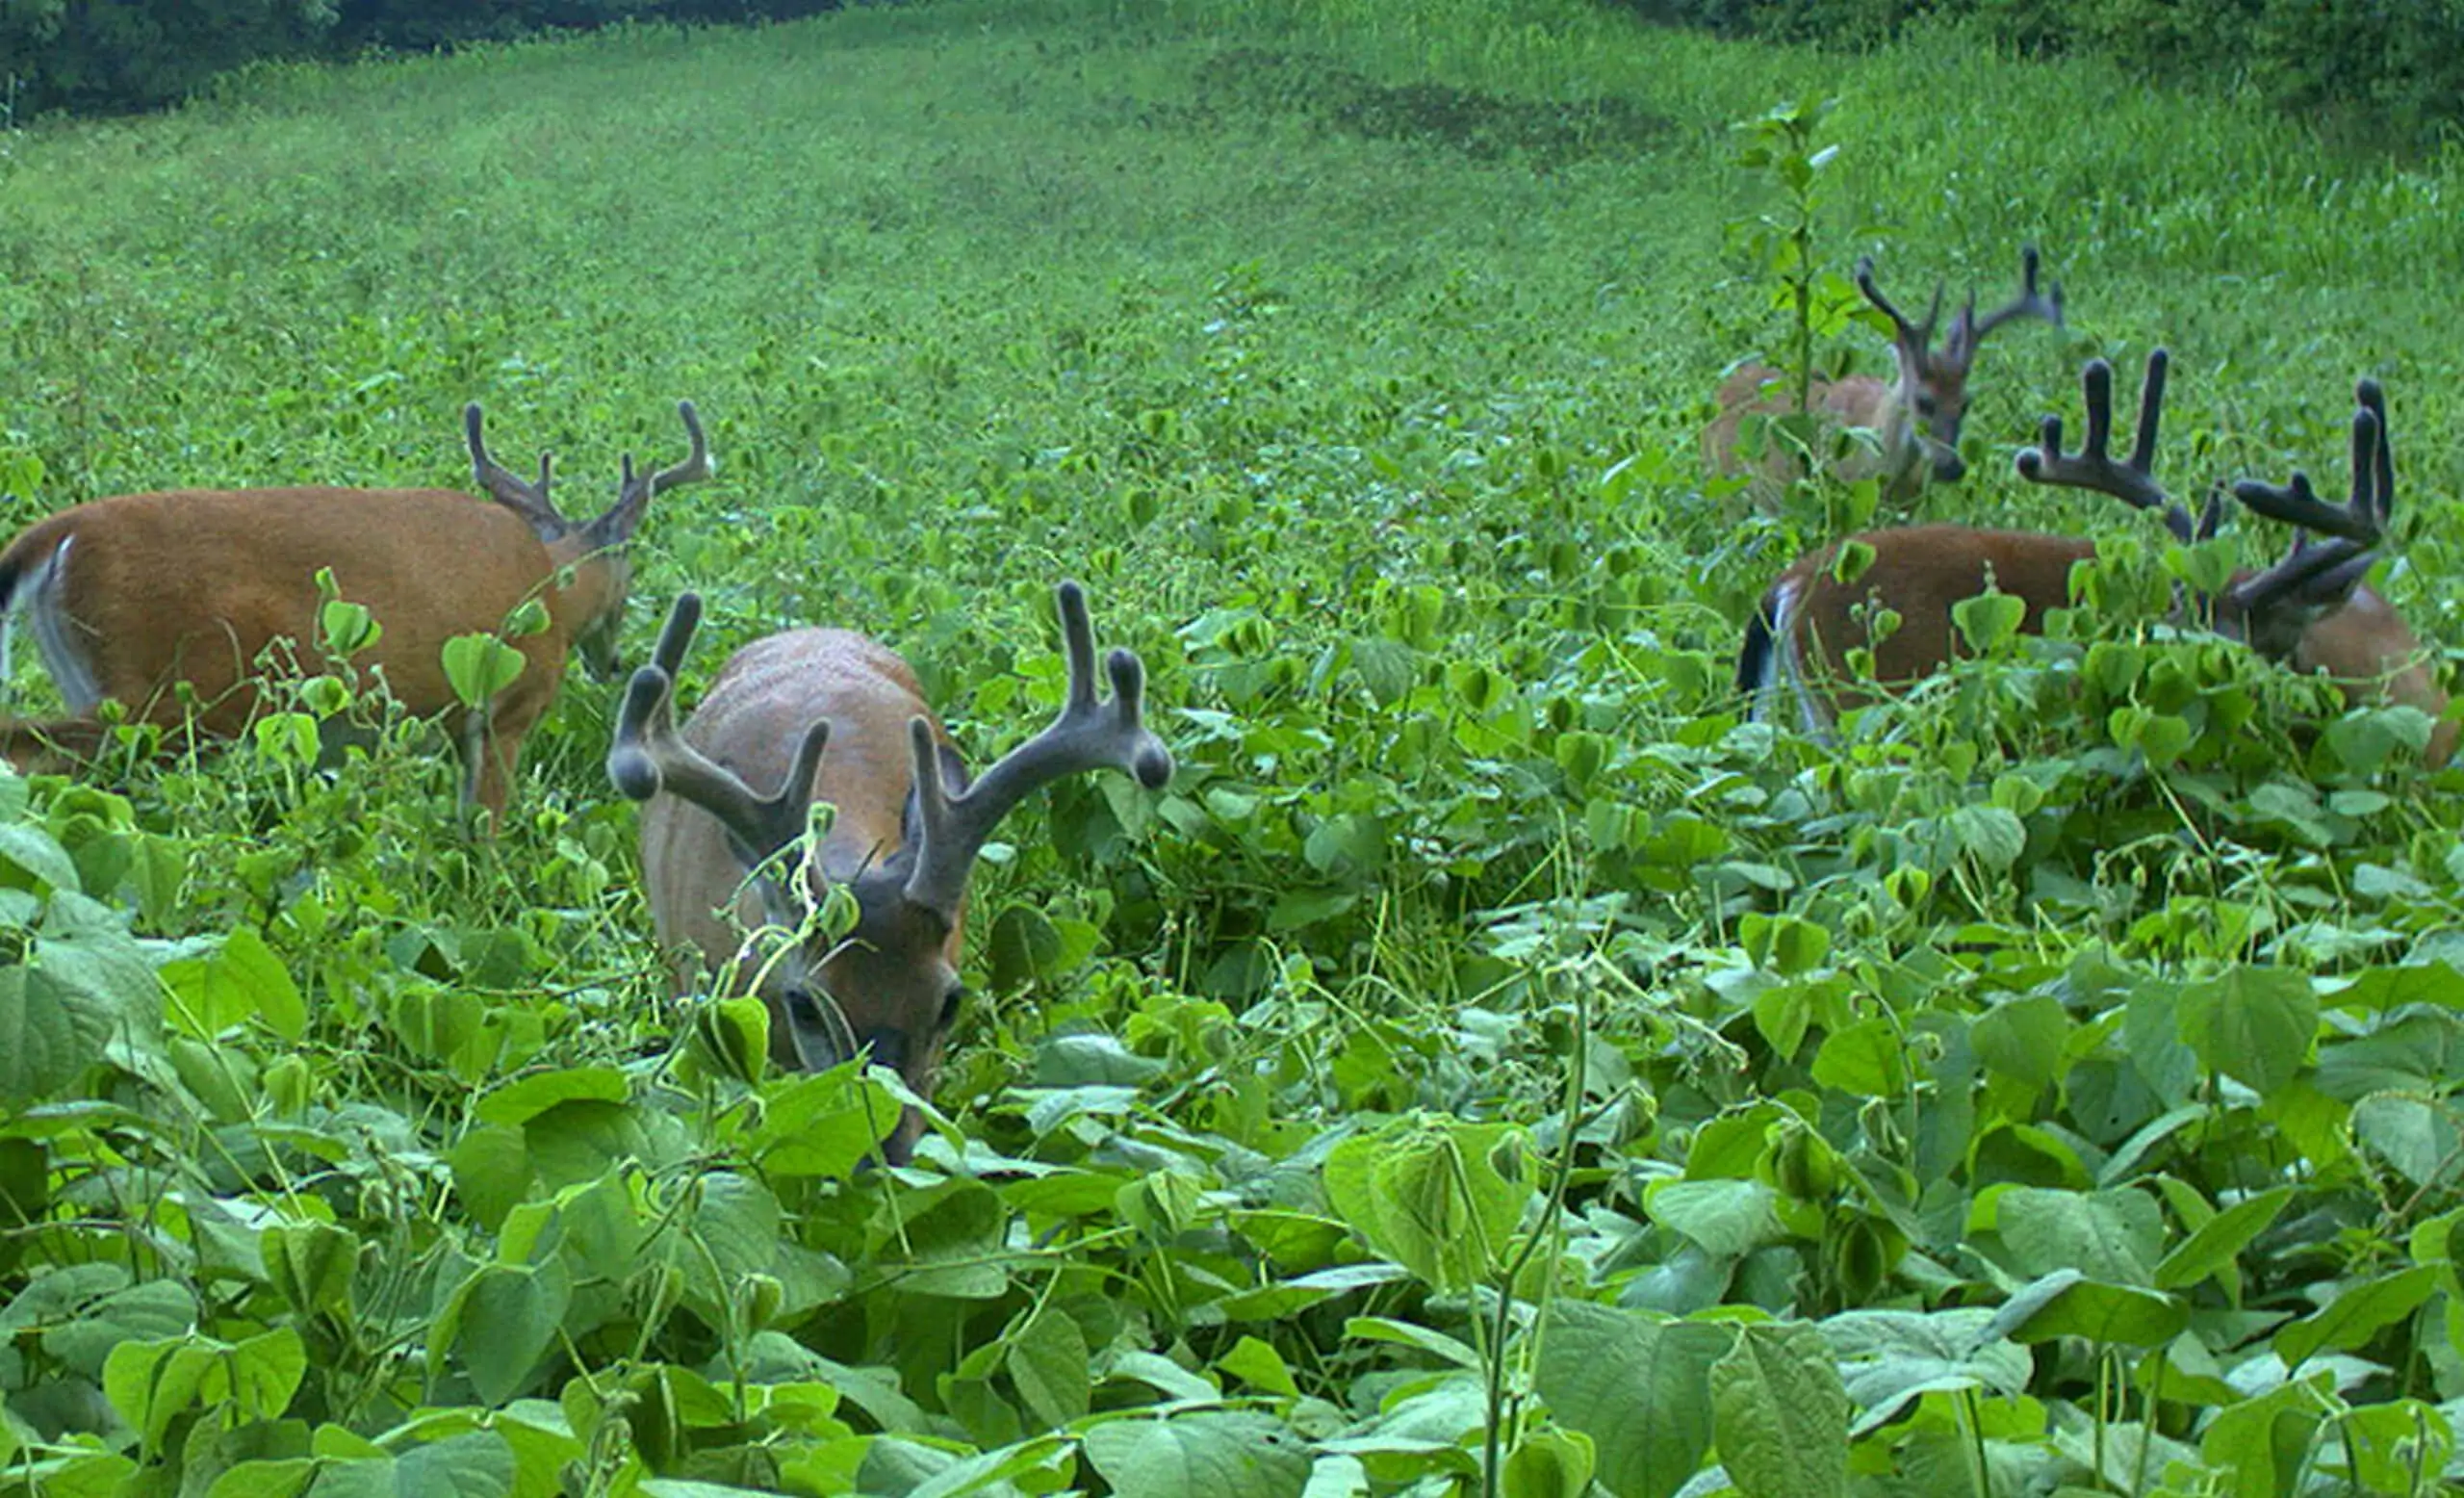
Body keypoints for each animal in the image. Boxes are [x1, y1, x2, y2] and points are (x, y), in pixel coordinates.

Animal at [0, 403, 714, 813]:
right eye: (631, 573)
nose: (612, 661)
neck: (553, 586)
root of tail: (56, 535)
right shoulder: (504, 711)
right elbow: (485, 831)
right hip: (160, 693)